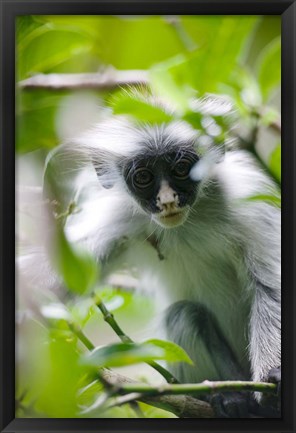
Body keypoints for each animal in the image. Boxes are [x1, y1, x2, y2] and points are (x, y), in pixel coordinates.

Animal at [20, 94, 280, 416]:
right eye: (144, 176)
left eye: (181, 169)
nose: (167, 200)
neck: (185, 225)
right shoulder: (119, 216)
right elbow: (60, 280)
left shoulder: (248, 205)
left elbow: (270, 287)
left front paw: (272, 377)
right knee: (184, 314)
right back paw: (232, 398)